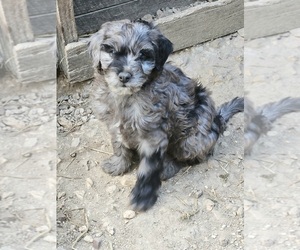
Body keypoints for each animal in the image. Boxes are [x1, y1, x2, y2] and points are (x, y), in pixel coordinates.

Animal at [88, 20, 244, 211]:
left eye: (143, 55)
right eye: (111, 51)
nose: (124, 76)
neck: (126, 98)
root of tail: (218, 119)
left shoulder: (154, 135)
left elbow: (148, 169)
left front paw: (143, 197)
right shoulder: (114, 126)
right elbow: (119, 145)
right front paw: (118, 164)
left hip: (191, 142)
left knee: (185, 156)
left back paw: (169, 167)